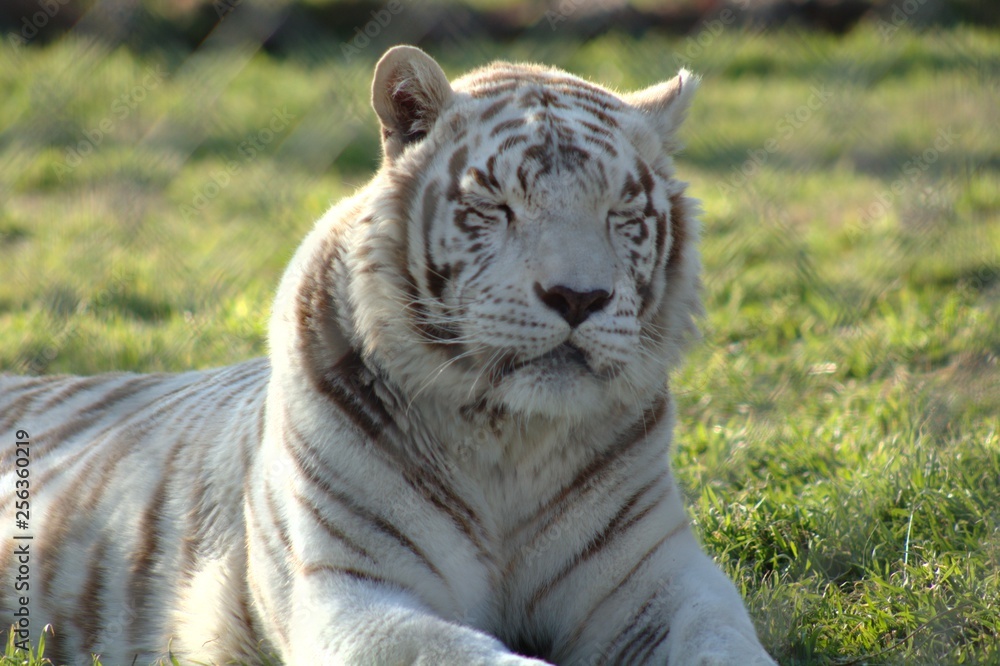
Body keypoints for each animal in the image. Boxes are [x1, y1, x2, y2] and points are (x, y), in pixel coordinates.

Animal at [0, 45, 776, 665]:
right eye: (495, 206)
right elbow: (471, 655)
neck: (510, 442)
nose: (578, 296)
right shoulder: (348, 589)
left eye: (621, 212)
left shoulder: (658, 578)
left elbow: (723, 640)